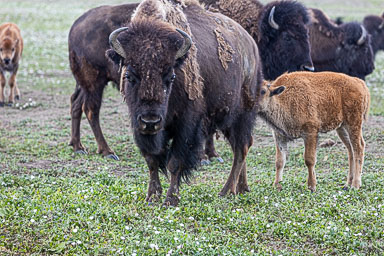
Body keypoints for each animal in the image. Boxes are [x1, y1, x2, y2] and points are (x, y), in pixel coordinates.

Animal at [106, 0, 264, 206]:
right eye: (129, 76)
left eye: (171, 77)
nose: (150, 121)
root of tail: (251, 46)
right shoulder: (140, 127)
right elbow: (152, 160)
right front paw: (152, 197)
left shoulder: (187, 125)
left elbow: (175, 162)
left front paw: (171, 199)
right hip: (227, 119)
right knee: (242, 145)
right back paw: (242, 187)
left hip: (243, 114)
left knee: (241, 148)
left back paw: (227, 191)